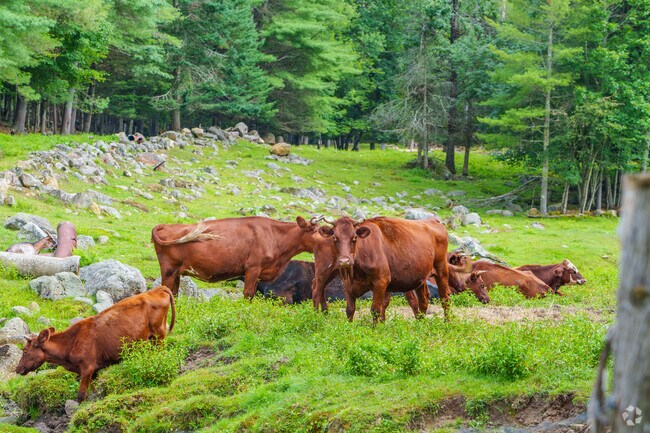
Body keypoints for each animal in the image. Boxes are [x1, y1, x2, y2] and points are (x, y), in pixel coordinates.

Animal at [15, 286, 175, 401]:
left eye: (25, 350)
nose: (17, 369)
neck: (69, 345)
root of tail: (158, 288)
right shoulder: (93, 371)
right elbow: (93, 393)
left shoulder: (87, 367)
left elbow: (81, 395)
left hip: (159, 336)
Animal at [151, 216, 320, 296]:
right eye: (314, 230)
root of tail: (165, 225)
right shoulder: (253, 268)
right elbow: (248, 293)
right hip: (168, 271)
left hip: (176, 273)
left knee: (174, 293)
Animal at [313, 216, 451, 322]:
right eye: (335, 237)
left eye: (354, 237)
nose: (344, 261)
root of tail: (433, 220)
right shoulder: (347, 283)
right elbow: (350, 309)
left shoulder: (381, 282)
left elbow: (375, 309)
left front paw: (375, 330)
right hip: (420, 278)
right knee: (423, 300)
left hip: (441, 269)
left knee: (444, 297)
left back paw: (447, 322)